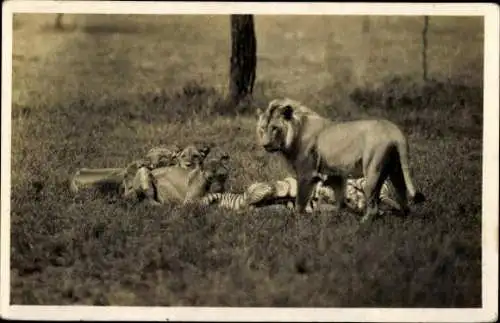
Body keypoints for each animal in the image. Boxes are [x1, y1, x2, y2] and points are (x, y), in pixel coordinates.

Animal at [258, 97, 426, 221]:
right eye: (262, 128)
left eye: (275, 128)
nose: (265, 145)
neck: (294, 133)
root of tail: (395, 130)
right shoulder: (335, 174)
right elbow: (340, 199)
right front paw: (335, 212)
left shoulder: (307, 174)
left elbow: (300, 200)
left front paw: (297, 218)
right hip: (396, 171)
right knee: (403, 198)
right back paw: (402, 217)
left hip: (372, 171)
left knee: (373, 206)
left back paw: (364, 222)